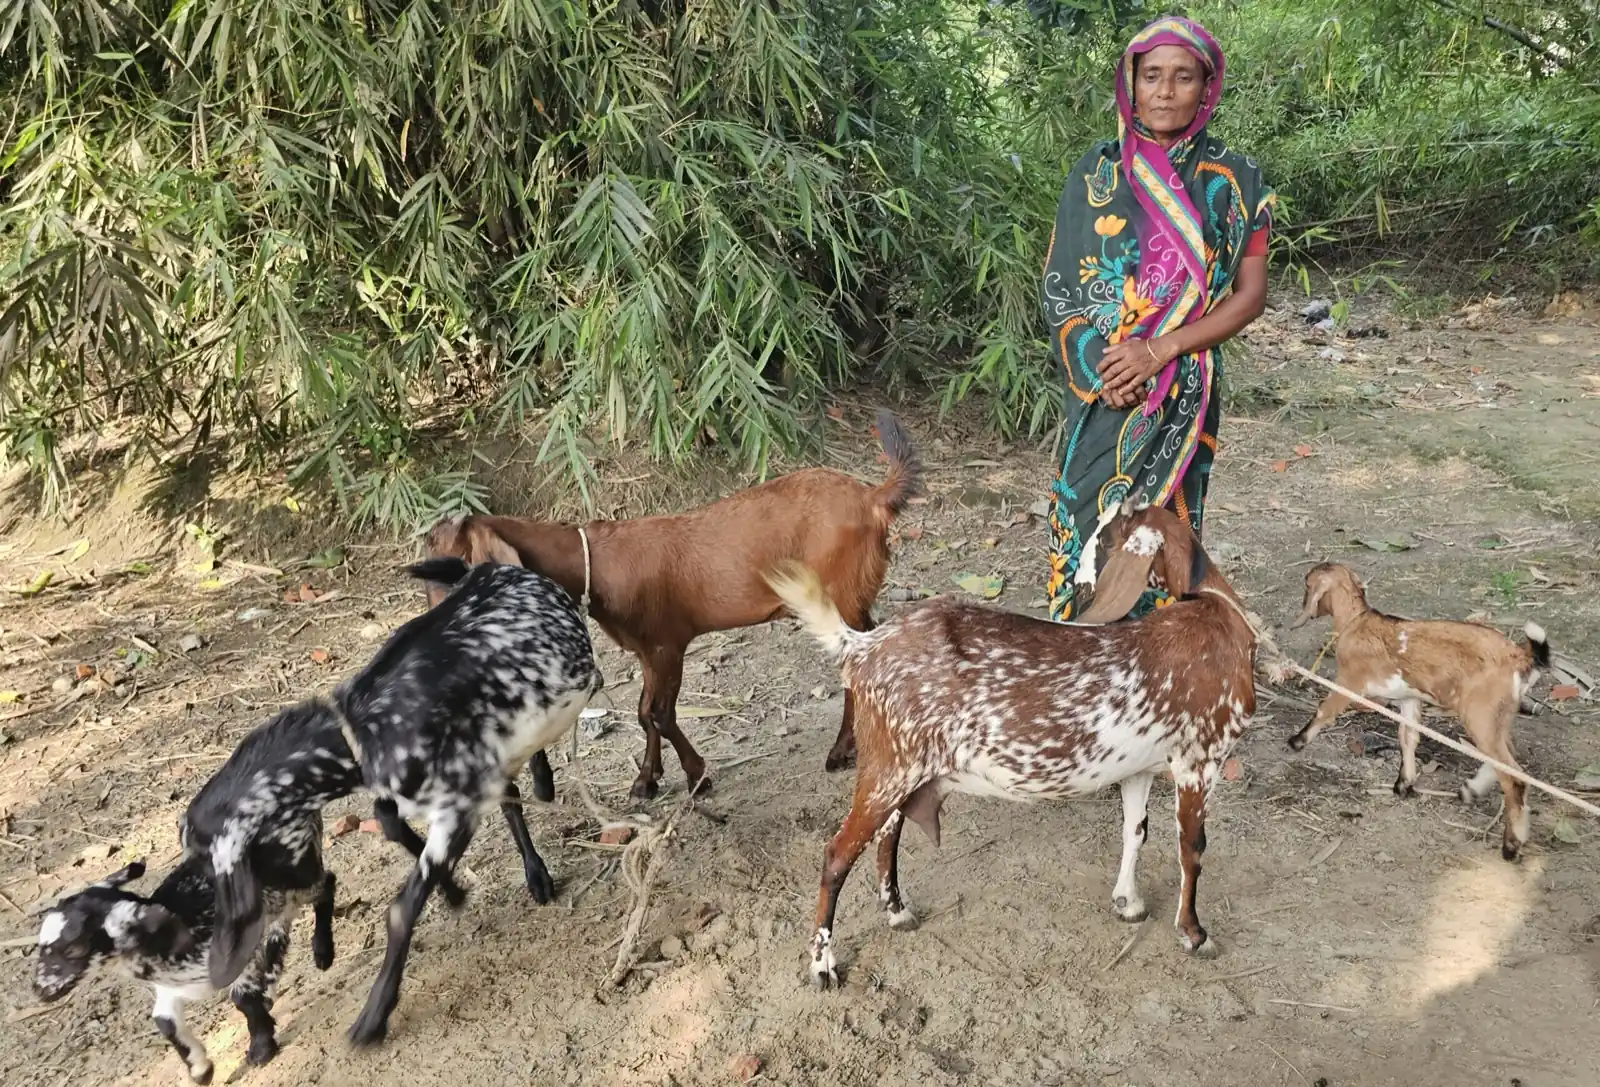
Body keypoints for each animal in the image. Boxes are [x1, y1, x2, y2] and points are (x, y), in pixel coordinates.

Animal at [33, 856, 334, 1083]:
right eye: (41, 945)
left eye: (74, 949)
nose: (39, 991)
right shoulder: (172, 985)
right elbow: (164, 1021)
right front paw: (201, 1069)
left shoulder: (239, 959)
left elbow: (242, 998)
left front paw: (261, 1049)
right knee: (282, 924)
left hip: (297, 884)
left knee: (326, 882)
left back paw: (322, 951)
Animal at [186, 556, 602, 1047]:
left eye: (221, 868)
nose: (220, 963)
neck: (363, 727)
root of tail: (493, 568)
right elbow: (389, 822)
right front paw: (453, 889)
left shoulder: (458, 809)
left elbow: (401, 911)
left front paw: (373, 1017)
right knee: (509, 794)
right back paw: (534, 863)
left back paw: (543, 800)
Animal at [423, 408, 921, 801]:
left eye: (452, 568)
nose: (439, 639)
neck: (593, 562)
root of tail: (872, 497)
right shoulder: (646, 649)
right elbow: (644, 713)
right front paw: (647, 781)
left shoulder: (667, 643)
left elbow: (660, 715)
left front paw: (697, 776)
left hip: (840, 594)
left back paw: (843, 751)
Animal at [764, 500, 1257, 986]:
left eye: (1104, 538)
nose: (1080, 588)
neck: (1214, 611)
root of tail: (862, 647)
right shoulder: (1200, 759)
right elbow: (1192, 848)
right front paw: (1194, 933)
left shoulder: (1139, 768)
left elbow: (1135, 830)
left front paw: (1128, 902)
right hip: (889, 768)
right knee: (836, 855)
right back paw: (822, 965)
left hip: (902, 768)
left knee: (887, 834)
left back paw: (898, 912)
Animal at [1287, 562, 1551, 860]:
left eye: (1306, 584)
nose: (1302, 605)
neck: (1357, 623)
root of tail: (1520, 657)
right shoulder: (1409, 699)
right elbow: (1408, 737)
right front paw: (1404, 783)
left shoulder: (1349, 683)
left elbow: (1325, 710)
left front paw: (1297, 741)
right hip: (1498, 716)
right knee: (1506, 760)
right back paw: (1471, 791)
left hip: (1480, 714)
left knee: (1513, 776)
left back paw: (1511, 845)